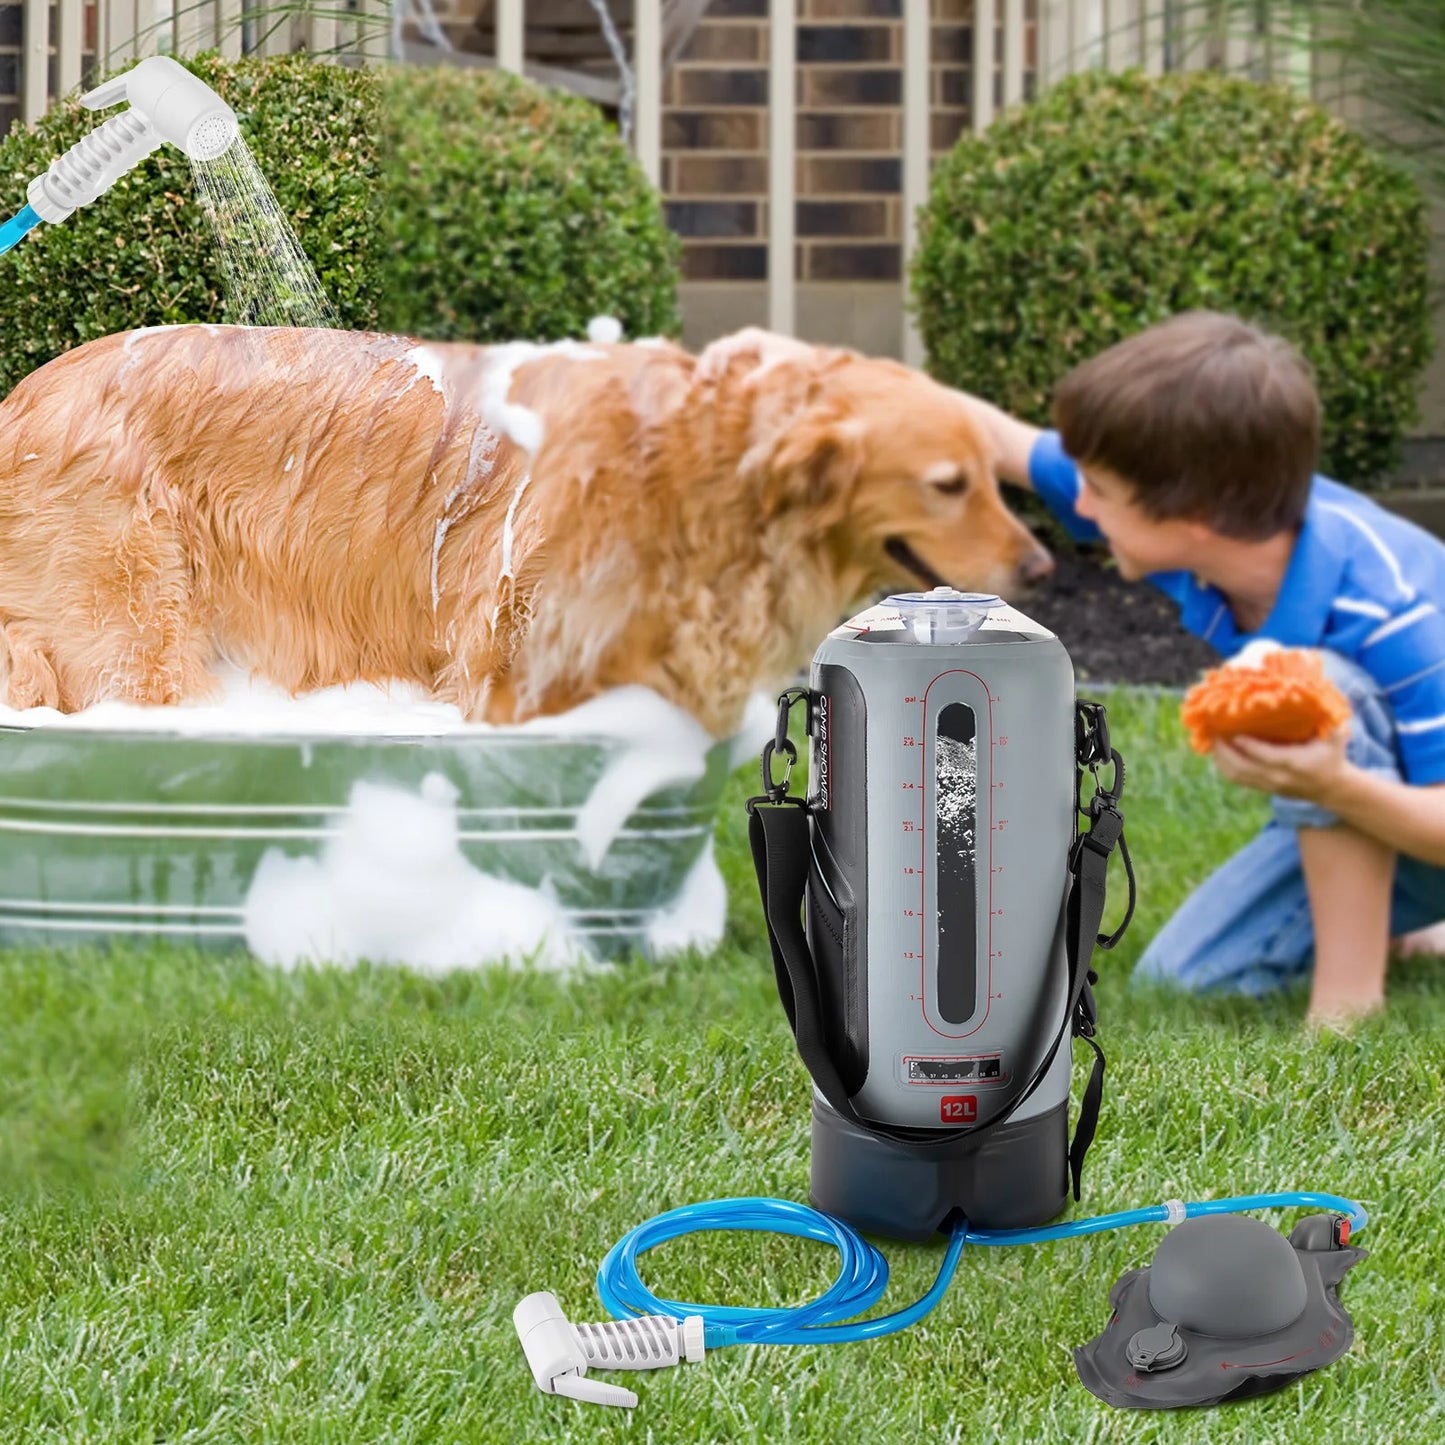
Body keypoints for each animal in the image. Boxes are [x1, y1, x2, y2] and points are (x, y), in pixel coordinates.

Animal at [0, 323, 1051, 739]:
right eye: (947, 485)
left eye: (991, 477)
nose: (1042, 563)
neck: (691, 470)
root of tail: (24, 396)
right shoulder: (510, 663)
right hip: (135, 632)